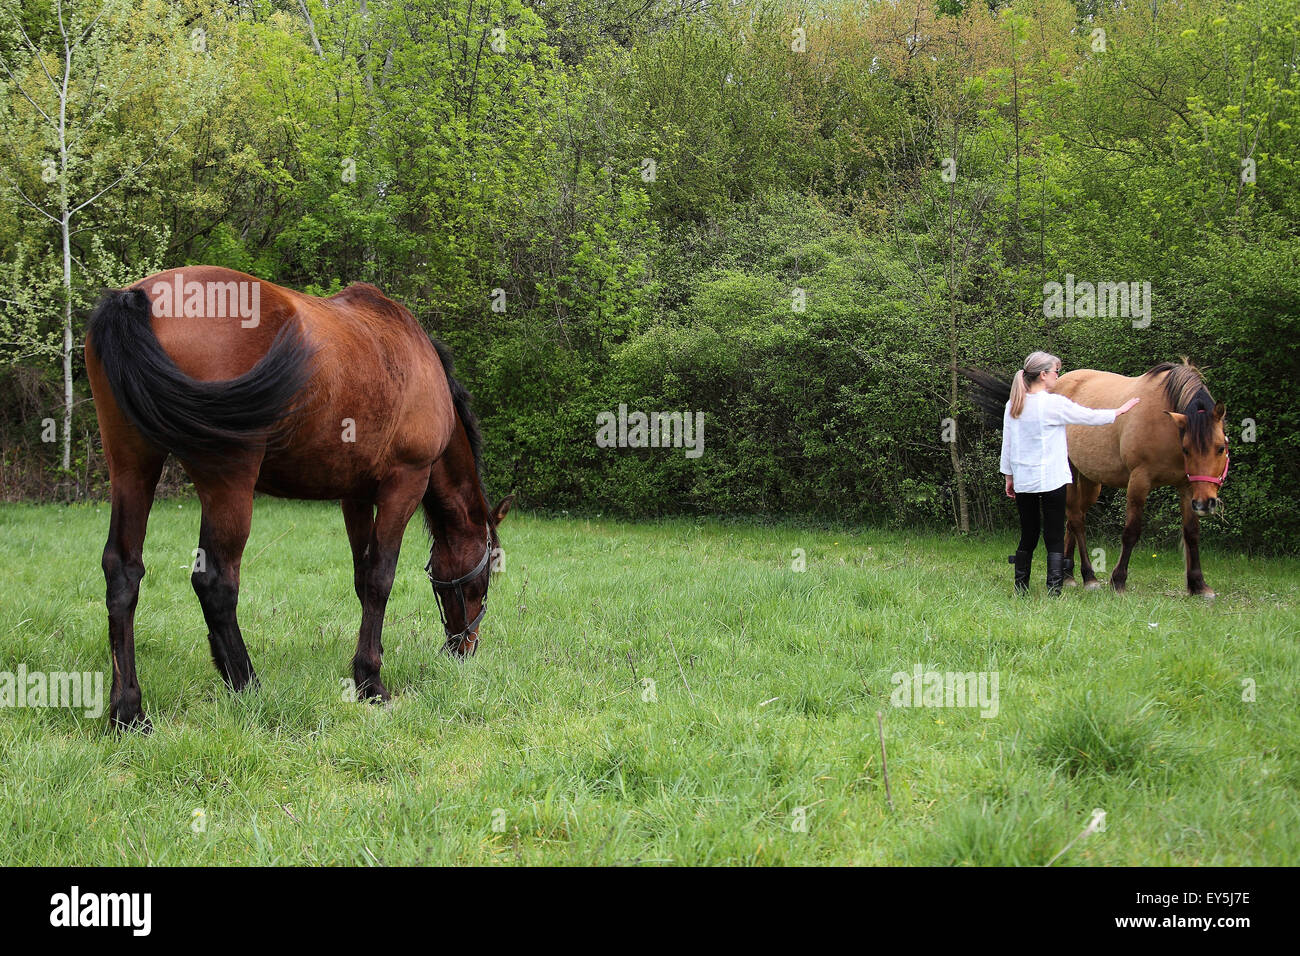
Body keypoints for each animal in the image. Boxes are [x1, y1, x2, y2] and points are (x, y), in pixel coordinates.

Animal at [85, 266, 512, 731]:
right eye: (485, 578)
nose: (464, 647)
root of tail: (136, 298)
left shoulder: (354, 496)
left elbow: (362, 579)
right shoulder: (404, 483)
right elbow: (380, 579)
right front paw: (371, 680)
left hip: (132, 466)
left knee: (123, 571)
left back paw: (129, 711)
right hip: (228, 481)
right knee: (215, 582)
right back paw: (247, 685)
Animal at [1052, 360, 1228, 597]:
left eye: (1220, 448)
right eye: (1186, 449)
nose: (1205, 503)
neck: (1166, 425)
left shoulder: (1187, 486)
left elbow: (1191, 532)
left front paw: (1198, 584)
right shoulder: (1139, 481)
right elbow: (1131, 531)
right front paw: (1118, 581)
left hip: (1090, 482)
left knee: (1073, 519)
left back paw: (1069, 575)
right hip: (1070, 472)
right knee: (1076, 519)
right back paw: (1089, 576)